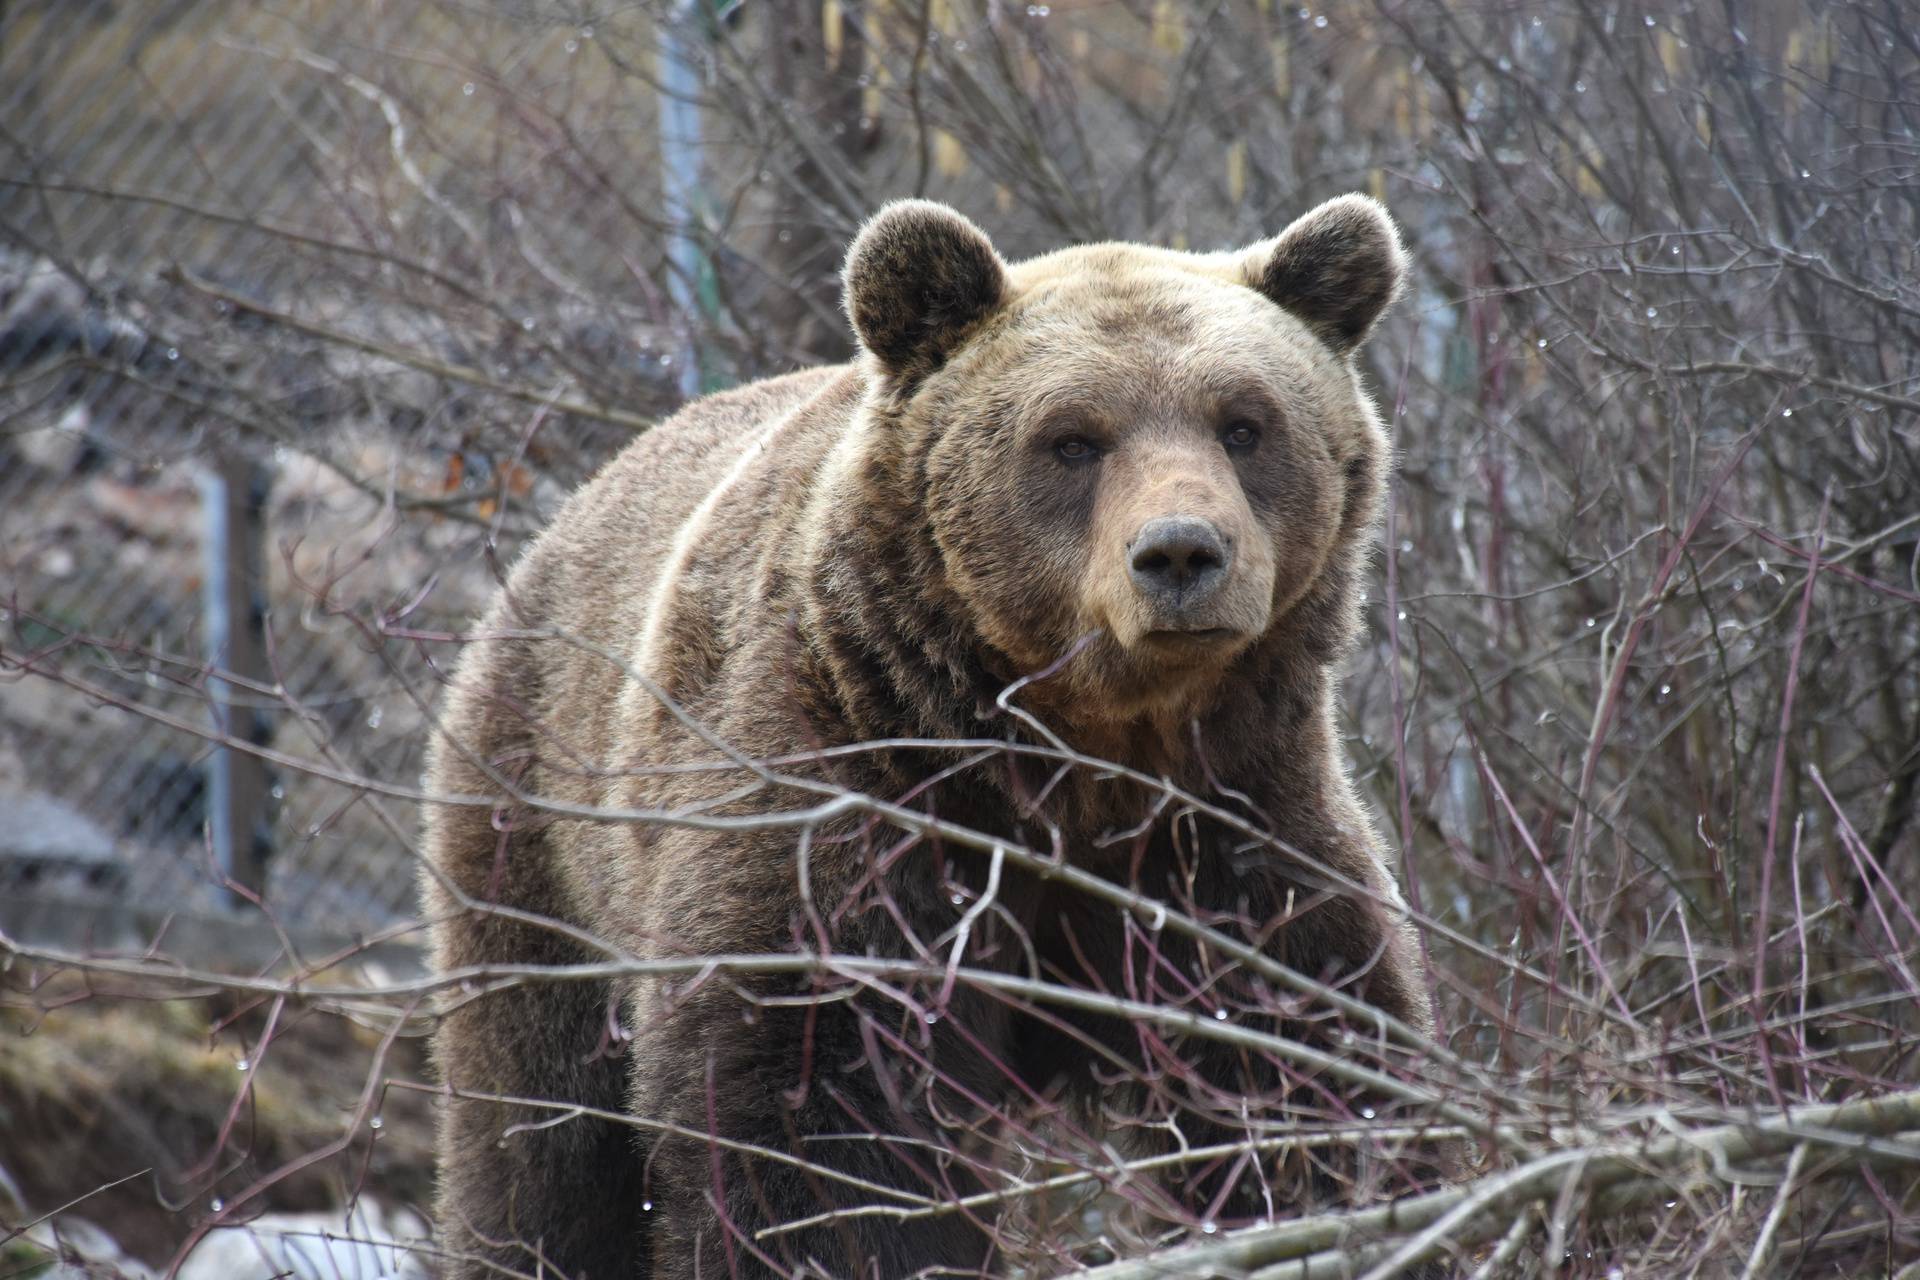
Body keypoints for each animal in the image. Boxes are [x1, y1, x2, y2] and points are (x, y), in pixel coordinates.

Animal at [424, 192, 1443, 1280]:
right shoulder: (855, 799)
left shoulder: (1231, 824)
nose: (1180, 553)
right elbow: (819, 1115)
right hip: (536, 834)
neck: (1084, 752)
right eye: (1072, 440)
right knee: (542, 1138)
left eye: (1245, 425)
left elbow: (1298, 1058)